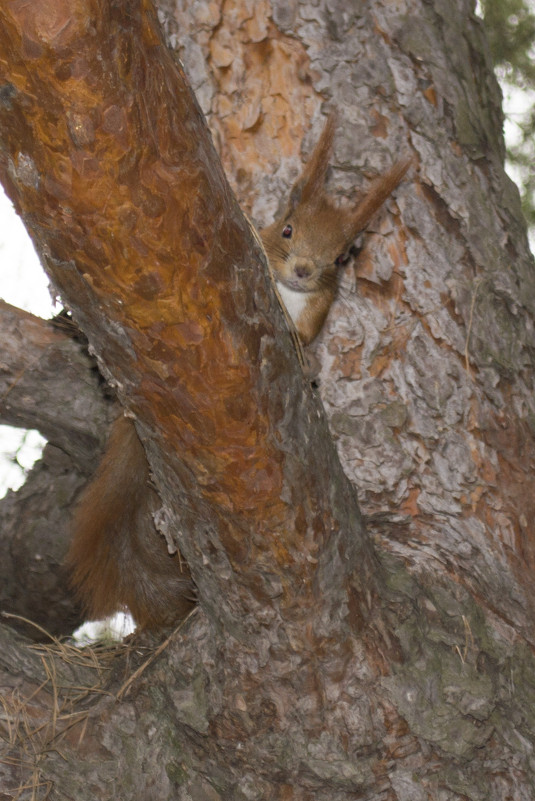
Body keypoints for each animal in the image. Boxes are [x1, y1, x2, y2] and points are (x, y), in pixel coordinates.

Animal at [67, 114, 410, 624]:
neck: (290, 293)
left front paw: (308, 364)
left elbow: (305, 339)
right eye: (287, 230)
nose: (305, 270)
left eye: (341, 256)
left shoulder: (316, 315)